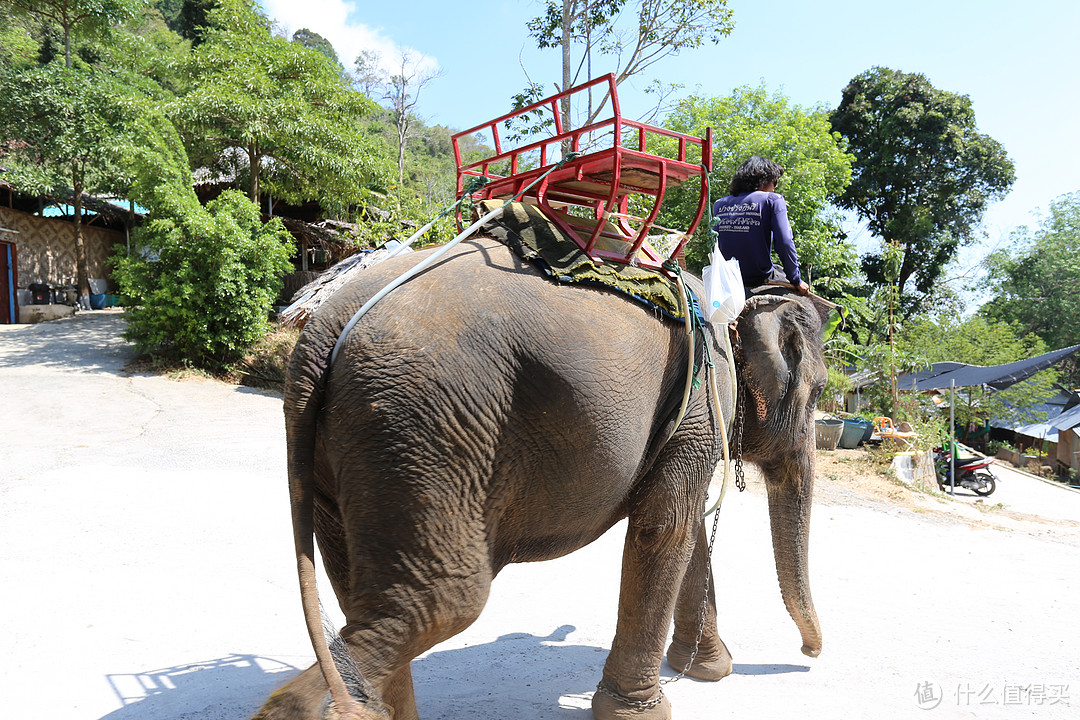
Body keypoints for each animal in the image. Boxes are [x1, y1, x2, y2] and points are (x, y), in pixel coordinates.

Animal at [252, 236, 825, 720]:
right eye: (819, 391)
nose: (810, 652)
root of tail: (324, 329)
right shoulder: (703, 395)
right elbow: (666, 530)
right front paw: (644, 711)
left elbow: (685, 530)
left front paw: (709, 670)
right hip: (421, 424)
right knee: (441, 605)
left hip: (352, 449)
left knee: (363, 596)